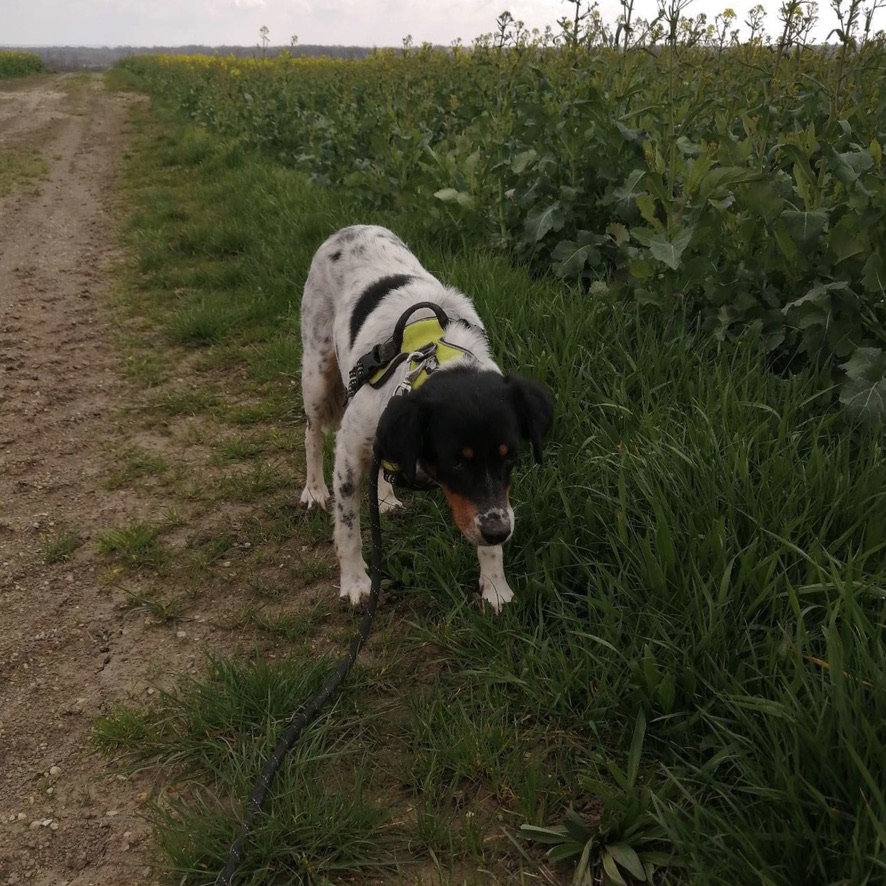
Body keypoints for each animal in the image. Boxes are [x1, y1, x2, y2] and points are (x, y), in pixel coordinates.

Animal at [304, 225, 556, 612]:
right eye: (456, 462)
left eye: (510, 456)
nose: (500, 531)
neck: (434, 358)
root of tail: (351, 228)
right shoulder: (348, 453)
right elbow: (348, 528)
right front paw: (356, 582)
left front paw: (495, 586)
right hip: (317, 373)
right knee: (312, 433)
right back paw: (314, 490)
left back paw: (385, 498)